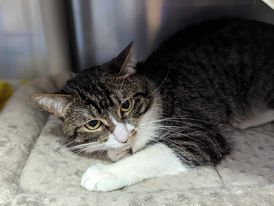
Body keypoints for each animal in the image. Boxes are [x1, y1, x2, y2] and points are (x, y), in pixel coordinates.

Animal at [31, 17, 274, 192]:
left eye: (126, 105)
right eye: (93, 124)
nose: (124, 137)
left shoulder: (200, 133)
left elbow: (153, 153)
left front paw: (105, 173)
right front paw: (117, 150)